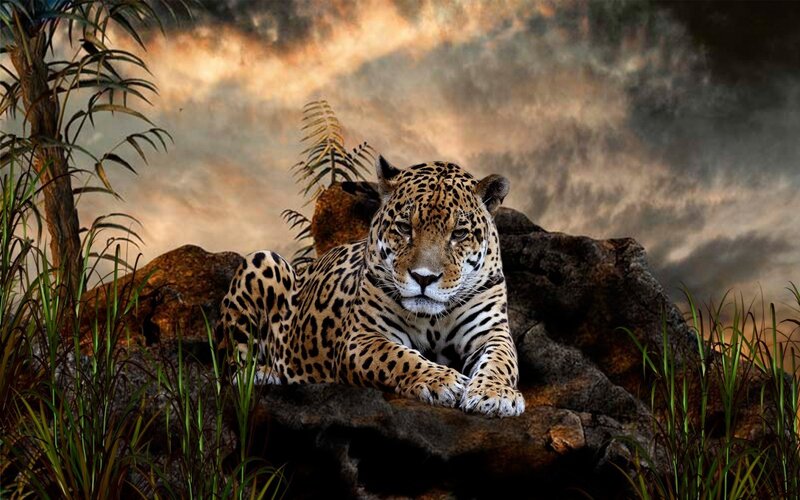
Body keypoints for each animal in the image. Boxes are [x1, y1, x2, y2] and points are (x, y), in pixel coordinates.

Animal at [216, 157, 525, 417]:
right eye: (404, 228)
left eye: (459, 234)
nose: (424, 278)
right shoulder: (362, 338)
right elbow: (399, 357)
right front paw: (443, 380)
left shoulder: (491, 333)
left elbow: (501, 361)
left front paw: (495, 394)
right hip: (262, 260)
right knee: (232, 368)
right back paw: (264, 374)